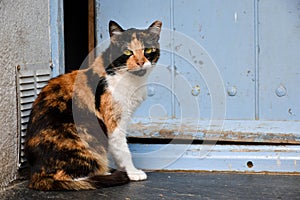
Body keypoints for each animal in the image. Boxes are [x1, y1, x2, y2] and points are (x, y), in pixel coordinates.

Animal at [25, 20, 162, 191]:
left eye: (148, 50)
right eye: (127, 52)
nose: (141, 62)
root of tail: (36, 174)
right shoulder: (114, 122)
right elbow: (123, 149)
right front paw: (133, 172)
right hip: (87, 132)